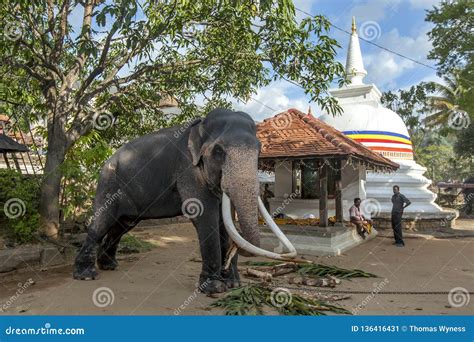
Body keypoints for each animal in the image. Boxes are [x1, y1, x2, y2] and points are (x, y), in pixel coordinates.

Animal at [73, 107, 296, 294]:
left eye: (259, 149)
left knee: (122, 225)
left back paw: (109, 266)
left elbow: (225, 222)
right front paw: (213, 289)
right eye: (219, 151)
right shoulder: (188, 169)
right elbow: (206, 217)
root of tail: (107, 161)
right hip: (109, 184)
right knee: (102, 222)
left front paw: (233, 285)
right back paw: (86, 275)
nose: (228, 265)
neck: (200, 127)